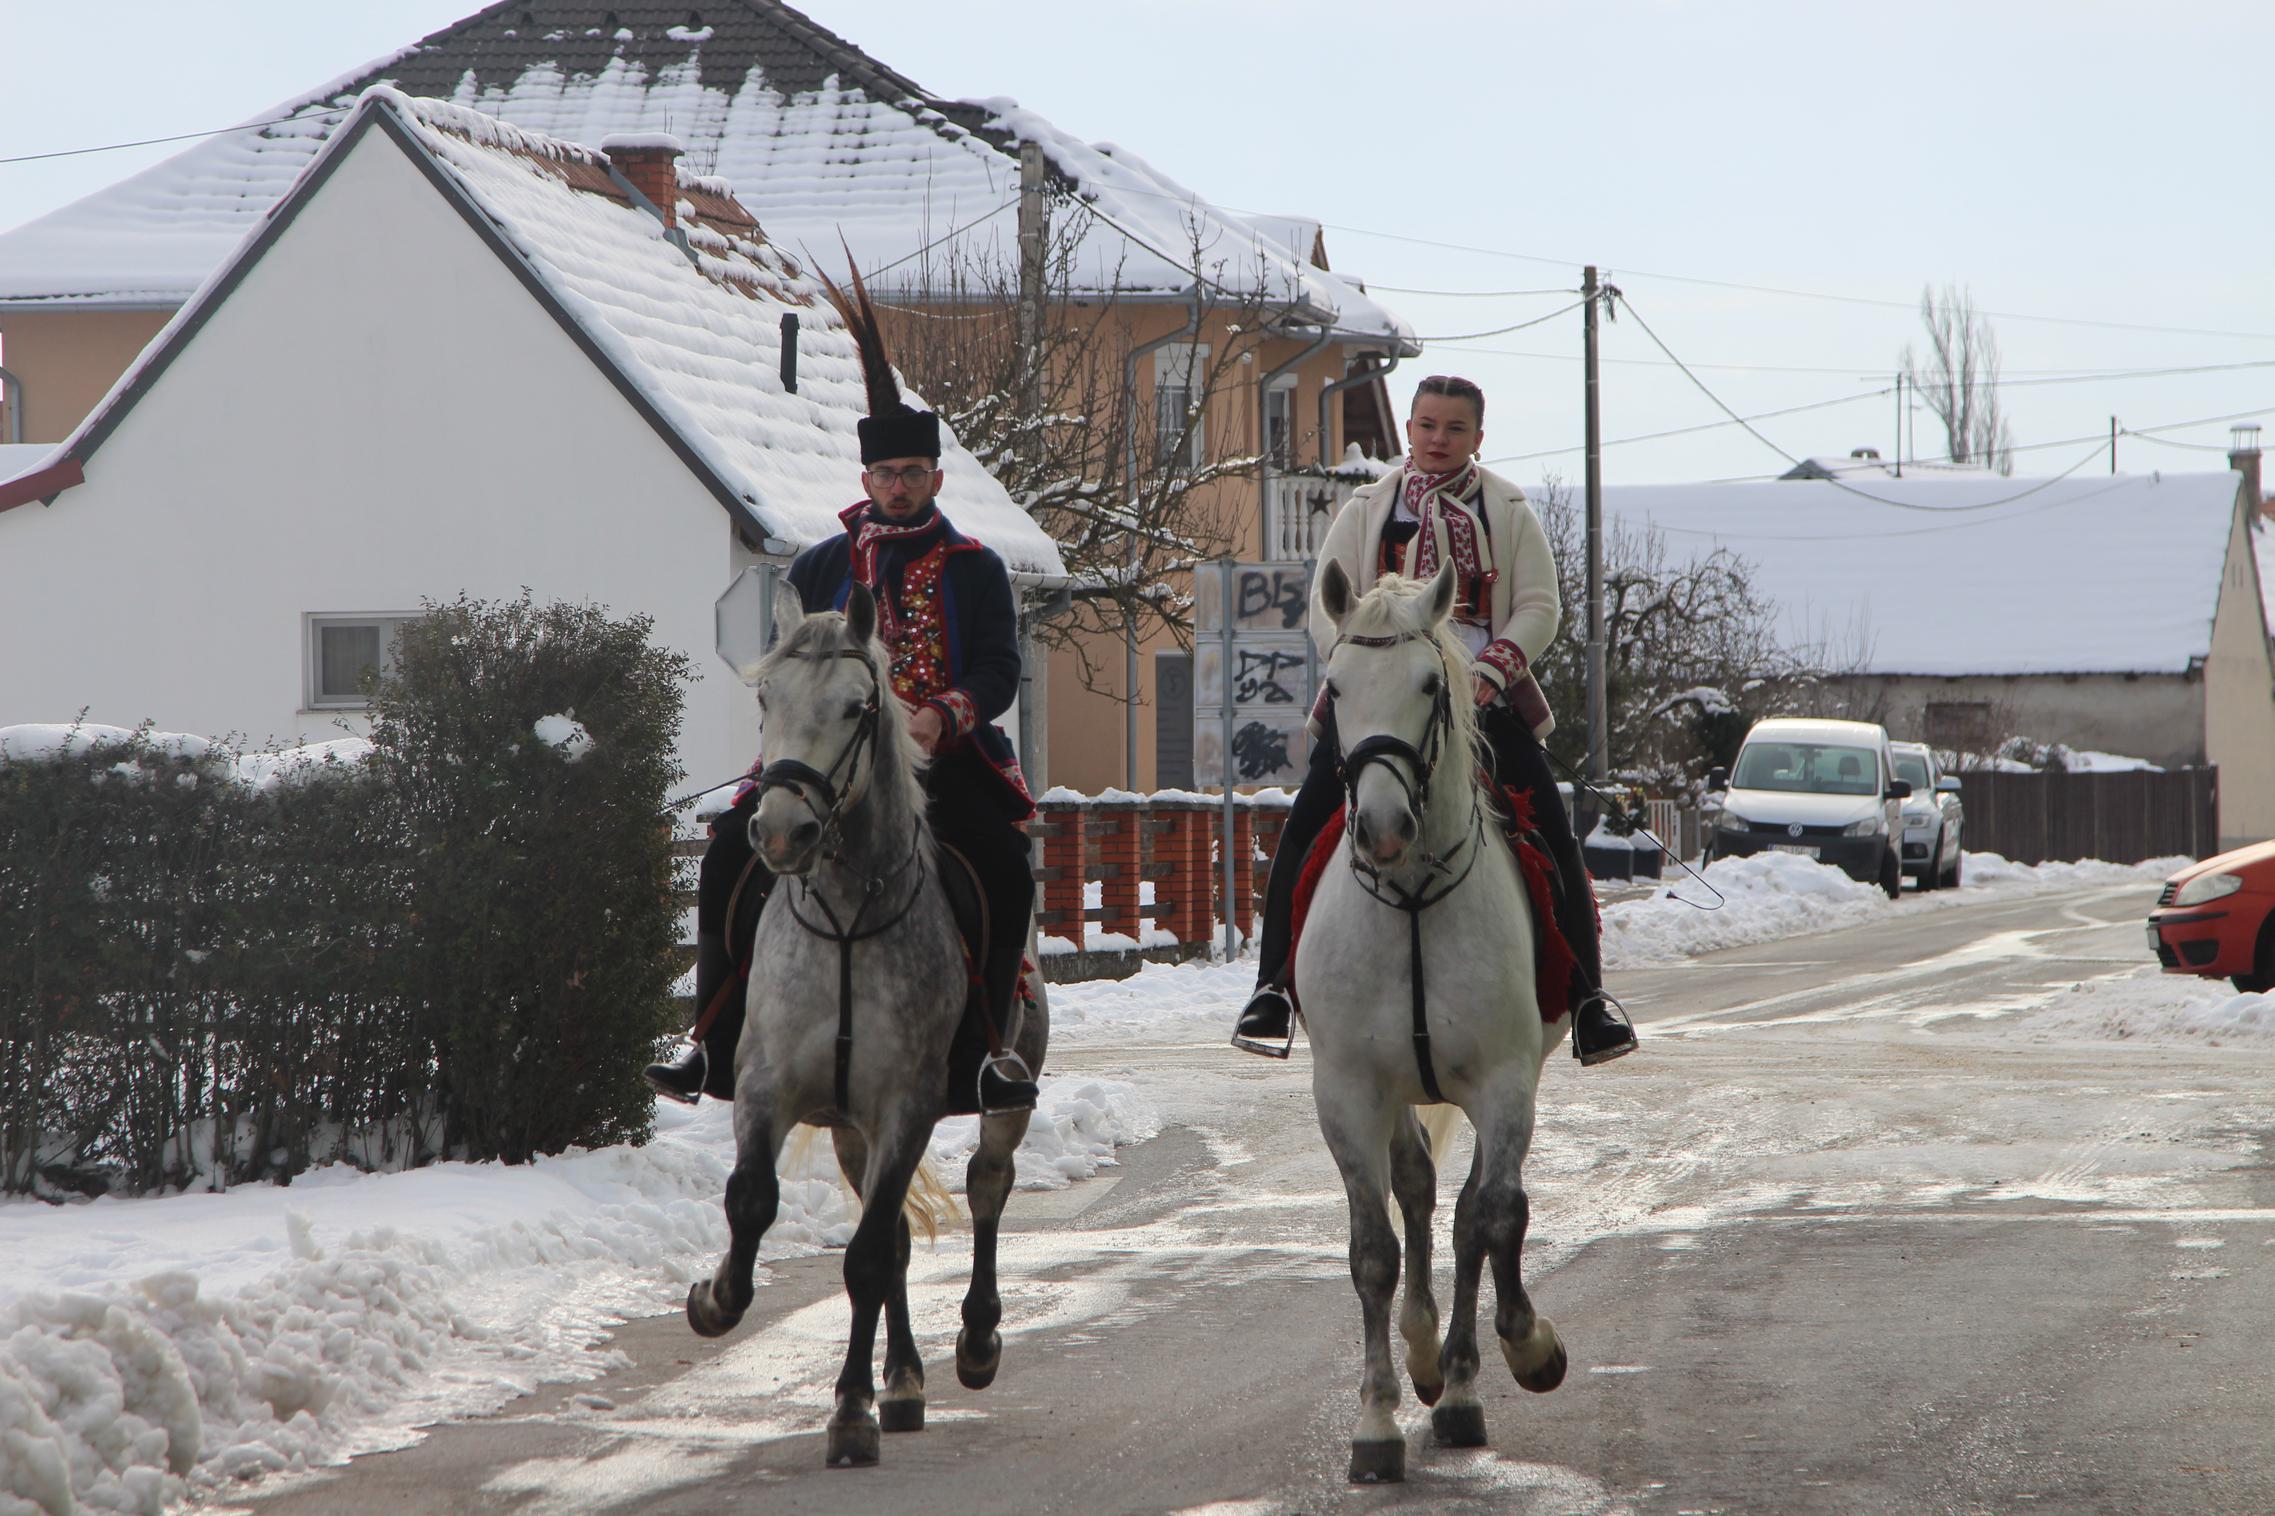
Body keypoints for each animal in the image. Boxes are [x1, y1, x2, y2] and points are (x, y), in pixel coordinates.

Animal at [682, 580, 1050, 1470]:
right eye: (765, 699)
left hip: (1003, 1088)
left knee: (986, 1186)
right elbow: (752, 1201)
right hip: (850, 1128)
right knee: (903, 1240)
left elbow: (868, 1256)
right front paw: (715, 1297)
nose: (781, 831)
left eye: (856, 707)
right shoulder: (767, 1088)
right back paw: (905, 1380)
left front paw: (850, 1412)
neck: (848, 914)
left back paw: (971, 1345)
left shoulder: (905, 1105)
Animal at [1293, 561, 1569, 1484]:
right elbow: (1373, 1250)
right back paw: (1418, 1358)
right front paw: (1374, 1423)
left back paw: (1453, 1383)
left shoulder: (1505, 1081)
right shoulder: (1347, 1091)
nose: (1382, 828)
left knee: (1467, 1212)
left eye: (1427, 685)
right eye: (1336, 685)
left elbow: (1493, 1216)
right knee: (1415, 1190)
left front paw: (1523, 1350)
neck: (1411, 893)